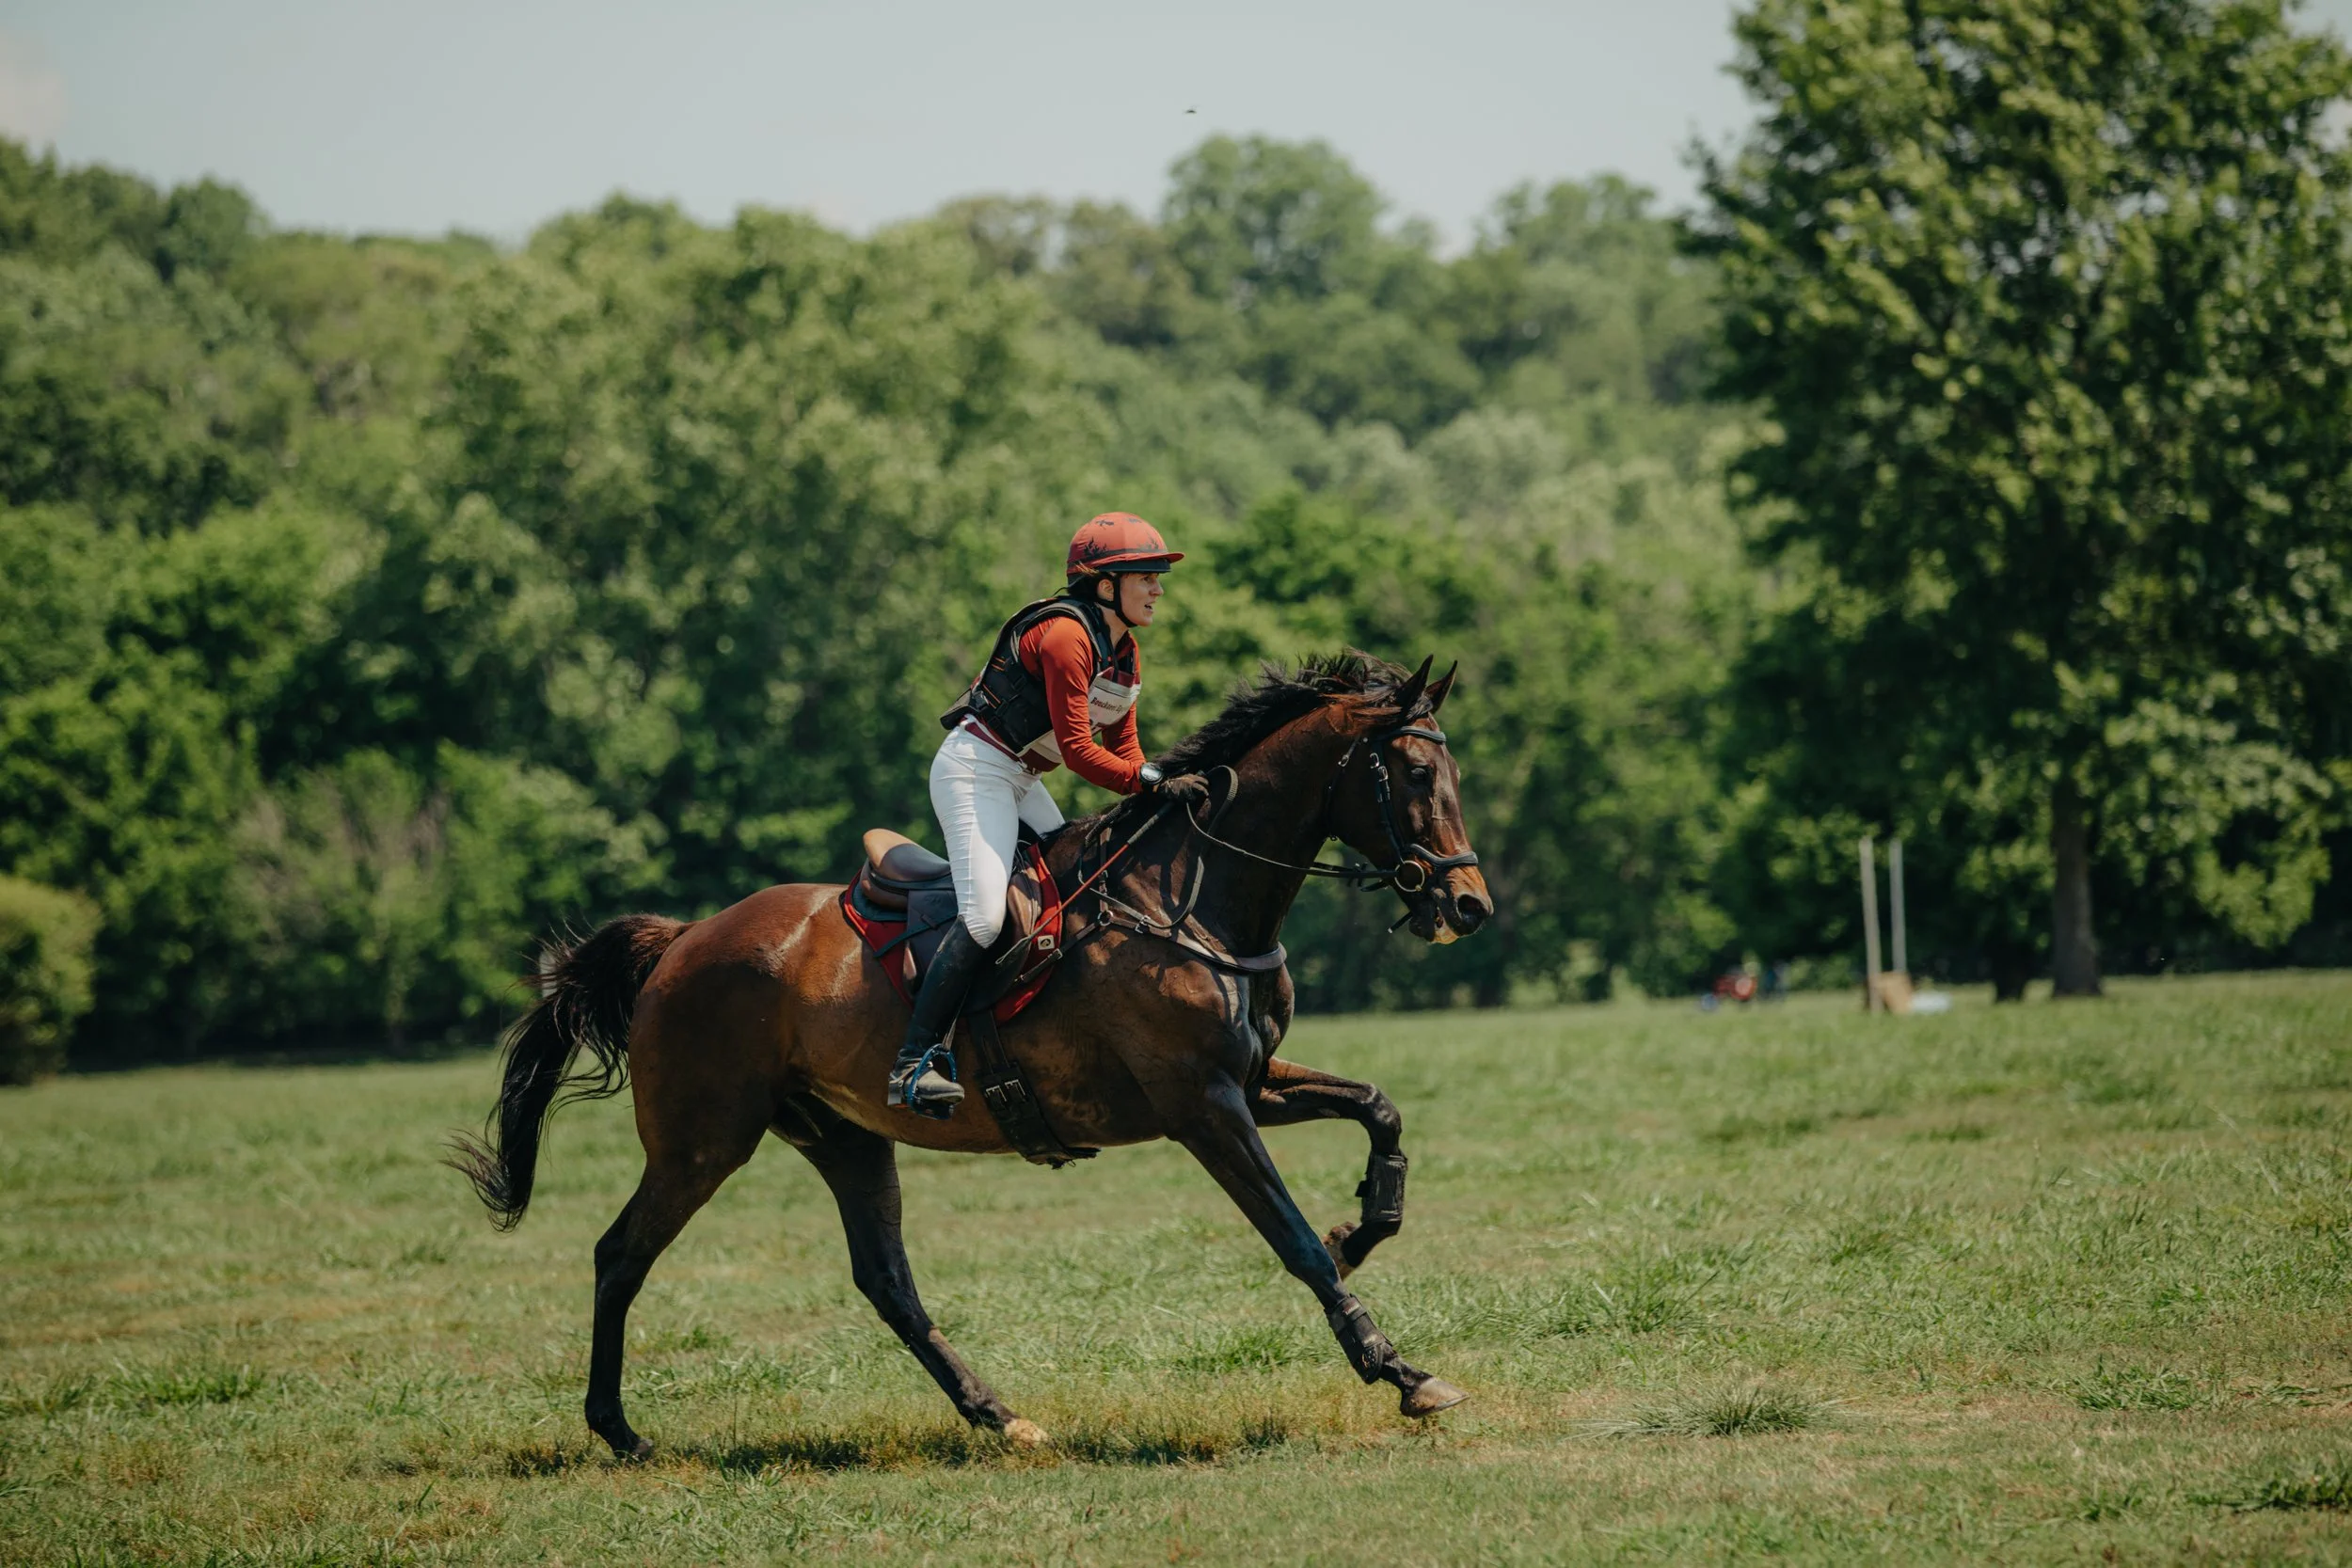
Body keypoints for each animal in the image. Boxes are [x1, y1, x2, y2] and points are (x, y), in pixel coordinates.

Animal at [451, 652, 1493, 1458]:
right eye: (1410, 773)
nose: (1469, 904)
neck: (1190, 895)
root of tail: (680, 941)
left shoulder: (1251, 1080)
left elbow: (1378, 1106)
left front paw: (1366, 1225)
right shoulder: (1204, 1105)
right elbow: (1292, 1241)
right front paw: (1400, 1368)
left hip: (842, 1136)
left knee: (887, 1283)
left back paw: (1000, 1415)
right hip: (702, 1142)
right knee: (620, 1253)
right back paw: (618, 1429)